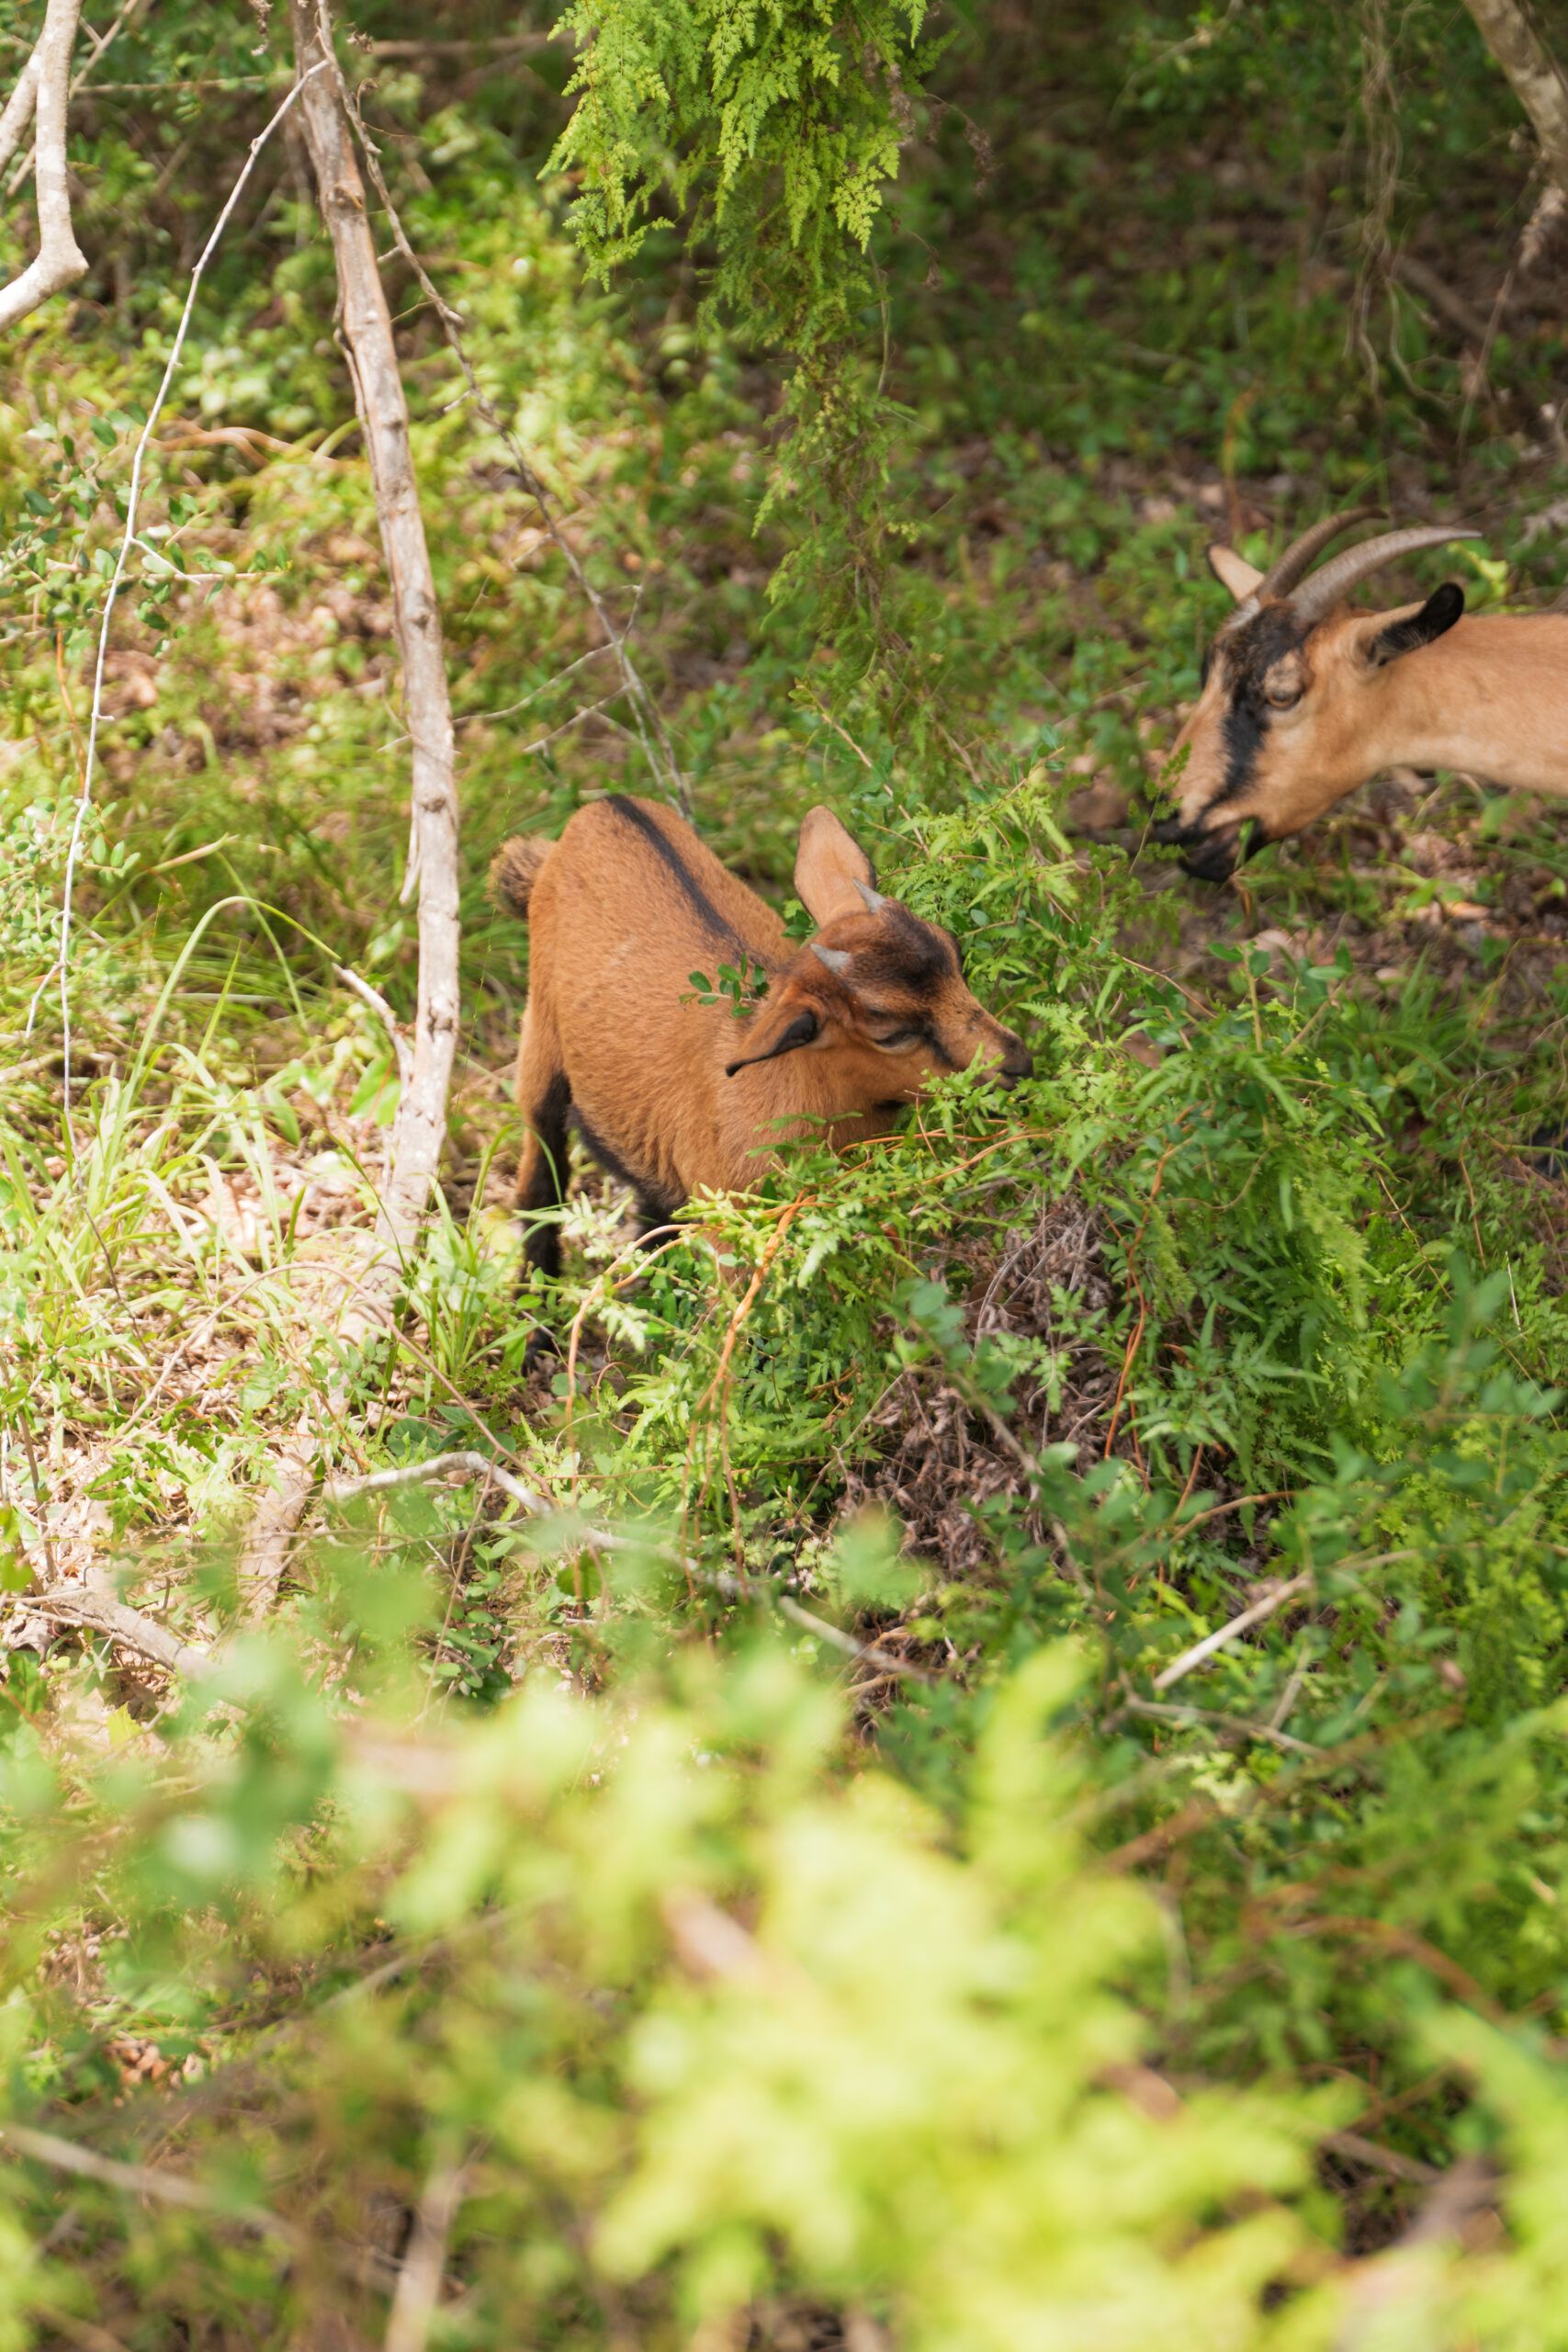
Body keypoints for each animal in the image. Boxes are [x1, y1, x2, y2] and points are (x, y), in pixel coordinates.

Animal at [490, 795, 1031, 1311]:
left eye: (955, 952)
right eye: (890, 1031)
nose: (1017, 1065)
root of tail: (602, 808)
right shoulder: (727, 1229)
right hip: (540, 1041)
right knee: (539, 1180)